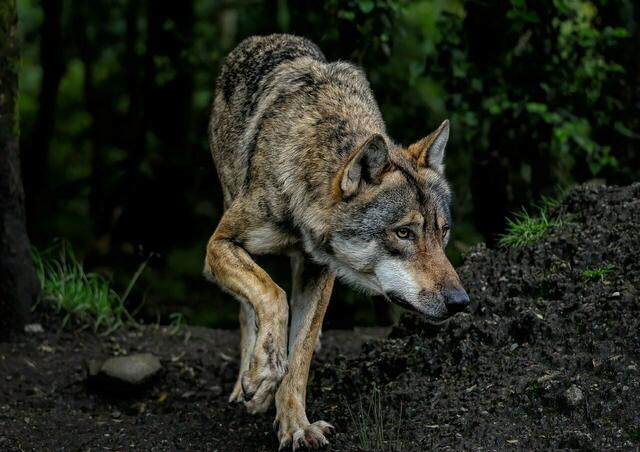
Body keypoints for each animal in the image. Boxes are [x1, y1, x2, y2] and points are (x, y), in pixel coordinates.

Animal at [203, 34, 469, 450]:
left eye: (441, 232)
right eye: (404, 233)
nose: (460, 302)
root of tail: (258, 40)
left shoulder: (319, 271)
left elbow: (299, 356)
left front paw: (295, 426)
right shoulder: (219, 244)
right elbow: (272, 295)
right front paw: (262, 373)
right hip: (228, 206)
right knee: (248, 309)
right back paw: (248, 379)